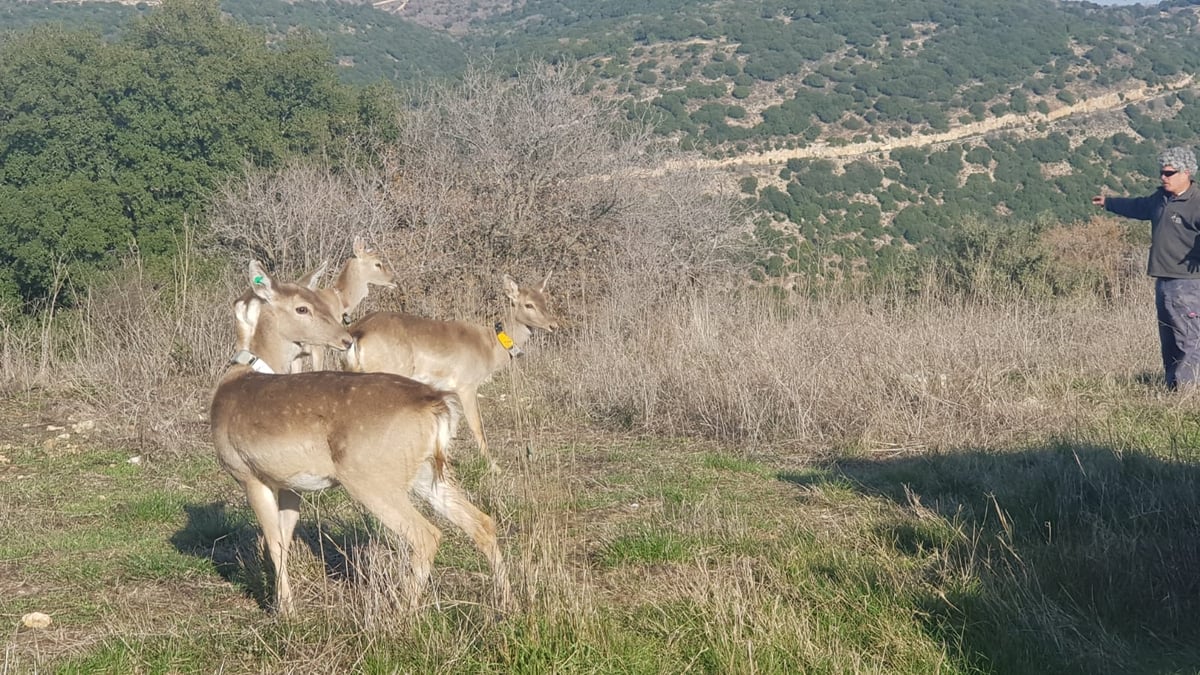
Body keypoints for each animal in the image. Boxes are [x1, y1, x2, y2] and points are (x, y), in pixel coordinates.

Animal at [211, 258, 511, 614]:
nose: (344, 338)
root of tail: (438, 405)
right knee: (482, 522)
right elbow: (284, 538)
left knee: (426, 535)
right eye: (302, 307)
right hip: (425, 472)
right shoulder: (289, 484)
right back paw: (506, 600)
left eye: (315, 301)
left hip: (369, 475)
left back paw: (403, 613)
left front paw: (284, 610)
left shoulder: (247, 473)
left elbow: (274, 542)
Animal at [343, 270, 556, 466]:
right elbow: (476, 425)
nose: (554, 325)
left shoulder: (448, 389)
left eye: (545, 300)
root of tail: (357, 332)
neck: (490, 348)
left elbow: (451, 429)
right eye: (528, 304)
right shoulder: (466, 383)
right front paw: (494, 467)